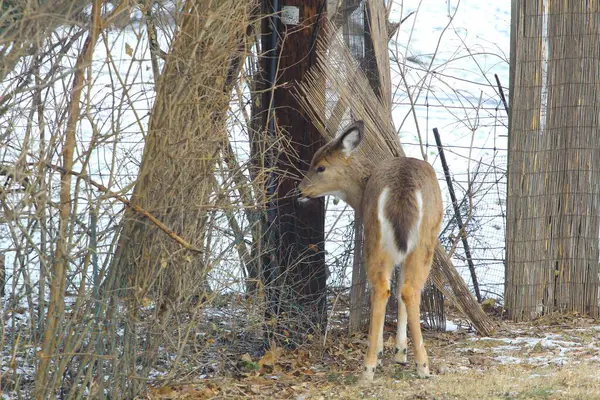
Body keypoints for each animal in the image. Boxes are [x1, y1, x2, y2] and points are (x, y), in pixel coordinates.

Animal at [298, 120, 442, 382]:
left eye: (320, 166)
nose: (300, 190)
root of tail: (401, 188)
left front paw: (393, 352)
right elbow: (401, 290)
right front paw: (400, 353)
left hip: (376, 237)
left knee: (383, 288)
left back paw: (370, 367)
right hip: (424, 240)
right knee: (407, 289)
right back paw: (420, 365)